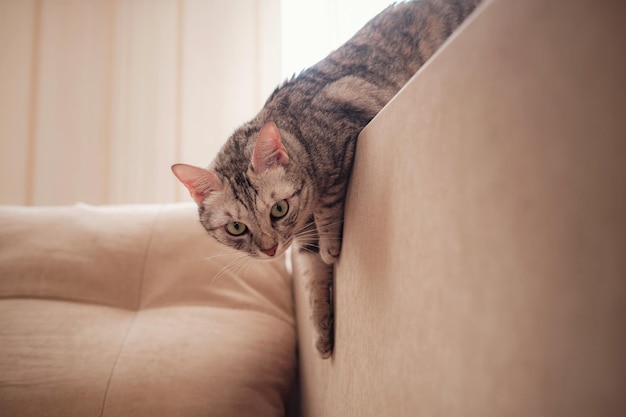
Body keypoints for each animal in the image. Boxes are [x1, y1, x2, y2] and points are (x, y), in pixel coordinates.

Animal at [173, 0, 480, 358]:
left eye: (278, 209)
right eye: (236, 227)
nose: (270, 250)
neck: (298, 129)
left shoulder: (348, 123)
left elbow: (327, 207)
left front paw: (331, 248)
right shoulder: (302, 243)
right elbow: (312, 280)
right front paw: (321, 333)